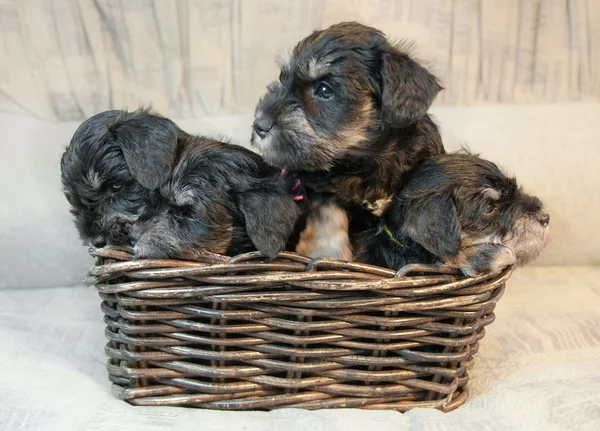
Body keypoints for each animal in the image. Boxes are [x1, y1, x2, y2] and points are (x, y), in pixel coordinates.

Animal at [251, 21, 442, 260]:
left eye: (324, 89)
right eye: (282, 78)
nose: (259, 125)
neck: (366, 159)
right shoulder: (317, 185)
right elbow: (328, 211)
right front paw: (327, 251)